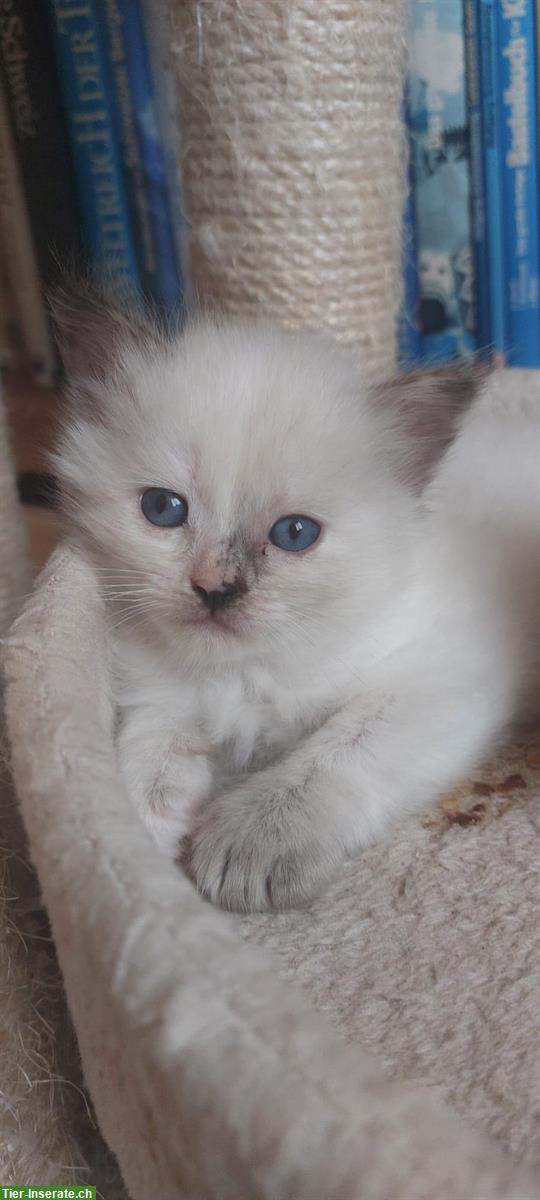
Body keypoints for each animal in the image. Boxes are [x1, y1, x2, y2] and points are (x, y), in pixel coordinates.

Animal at [52, 290, 540, 907]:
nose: (215, 589)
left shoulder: (438, 676)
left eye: (295, 534)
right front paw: (137, 842)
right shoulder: (160, 690)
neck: (242, 672)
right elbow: (151, 746)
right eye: (163, 508)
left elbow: (338, 752)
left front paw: (254, 837)